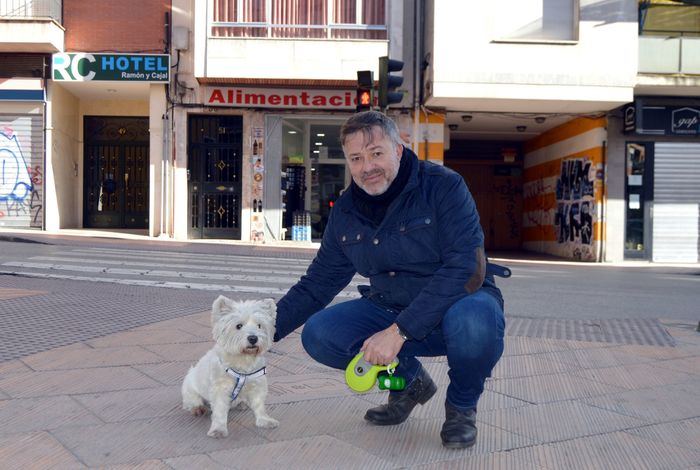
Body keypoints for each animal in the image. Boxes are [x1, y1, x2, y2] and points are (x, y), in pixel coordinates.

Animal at [183, 296, 278, 438]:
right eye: (238, 326)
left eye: (259, 325)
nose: (253, 338)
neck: (243, 360)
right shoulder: (220, 389)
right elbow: (220, 411)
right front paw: (218, 429)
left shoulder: (257, 383)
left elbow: (259, 404)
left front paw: (265, 420)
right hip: (190, 386)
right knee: (192, 400)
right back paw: (198, 408)